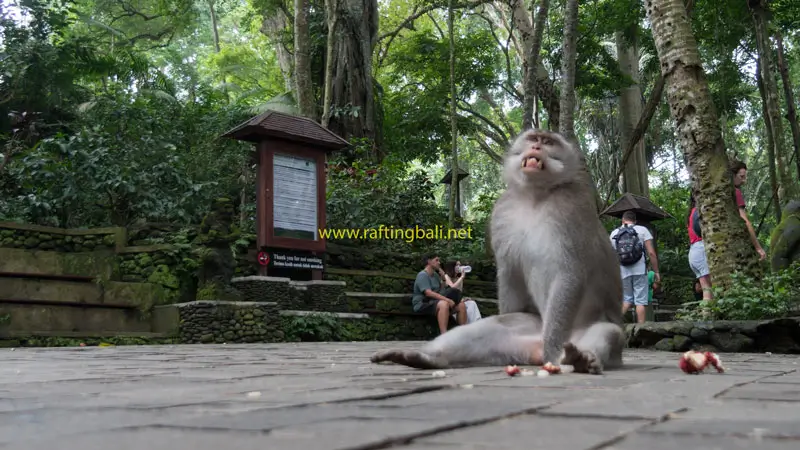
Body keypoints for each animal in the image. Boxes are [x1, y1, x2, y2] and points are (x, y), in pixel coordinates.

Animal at [370, 129, 626, 374]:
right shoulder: (503, 211)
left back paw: (580, 358)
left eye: (548, 142)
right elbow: (510, 272)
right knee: (495, 326)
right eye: (533, 138)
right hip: (529, 329)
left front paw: (555, 349)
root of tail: (535, 351)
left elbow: (569, 274)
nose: (536, 147)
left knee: (607, 332)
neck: (534, 196)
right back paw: (423, 358)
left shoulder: (571, 208)